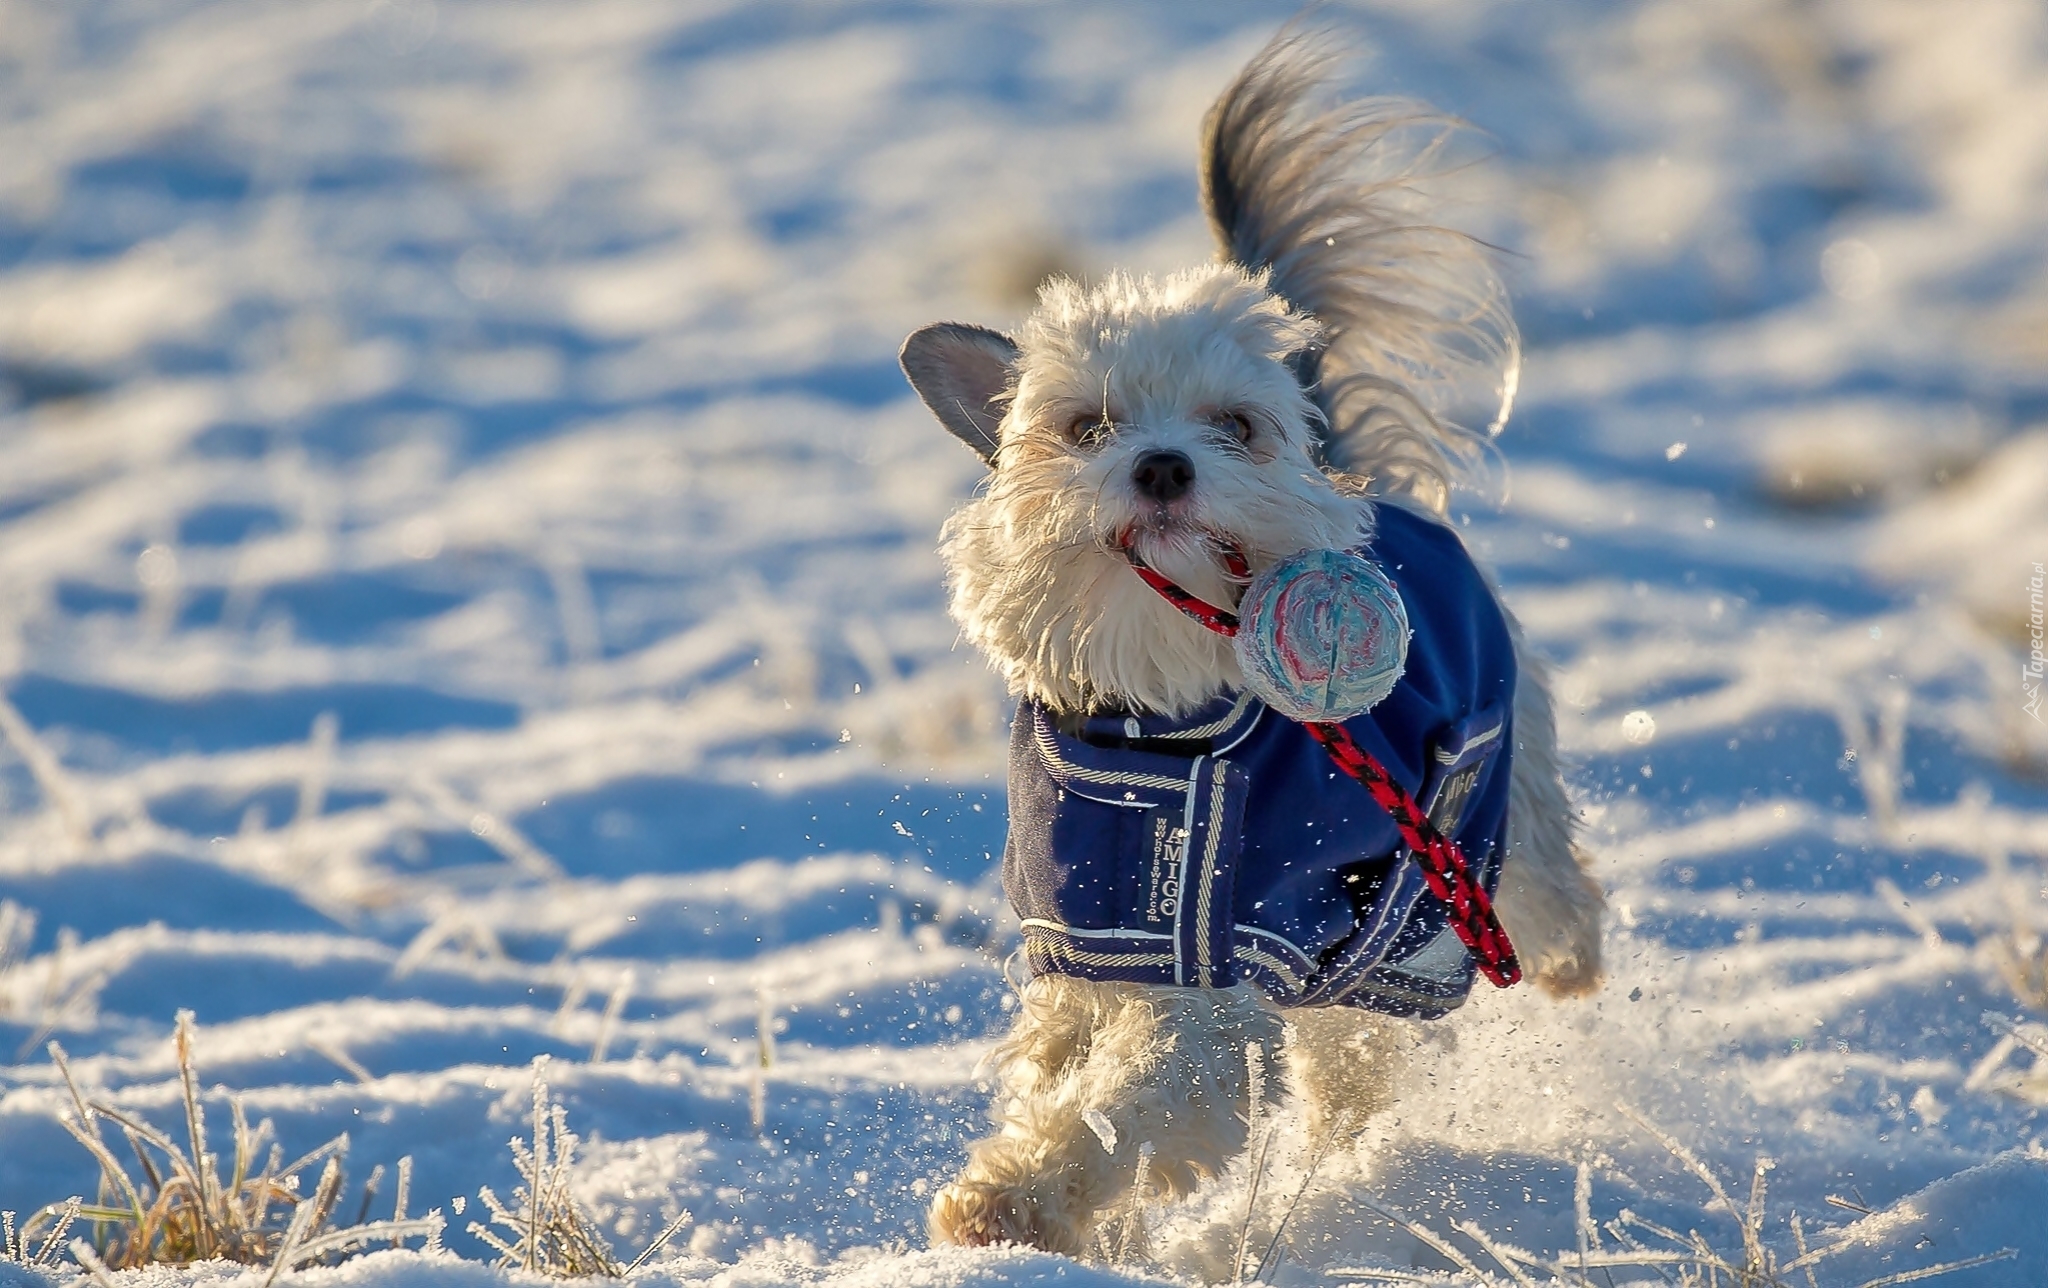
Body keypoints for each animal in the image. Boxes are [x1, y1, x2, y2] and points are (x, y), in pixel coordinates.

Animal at [905, 27, 1605, 1253]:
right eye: (1085, 427)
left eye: (1234, 427)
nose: (1162, 465)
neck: (1165, 732)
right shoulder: (1096, 939)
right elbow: (1061, 1062)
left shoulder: (1218, 976)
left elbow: (1136, 1098)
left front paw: (1012, 1200)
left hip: (1457, 832)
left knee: (1524, 885)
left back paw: (1561, 963)